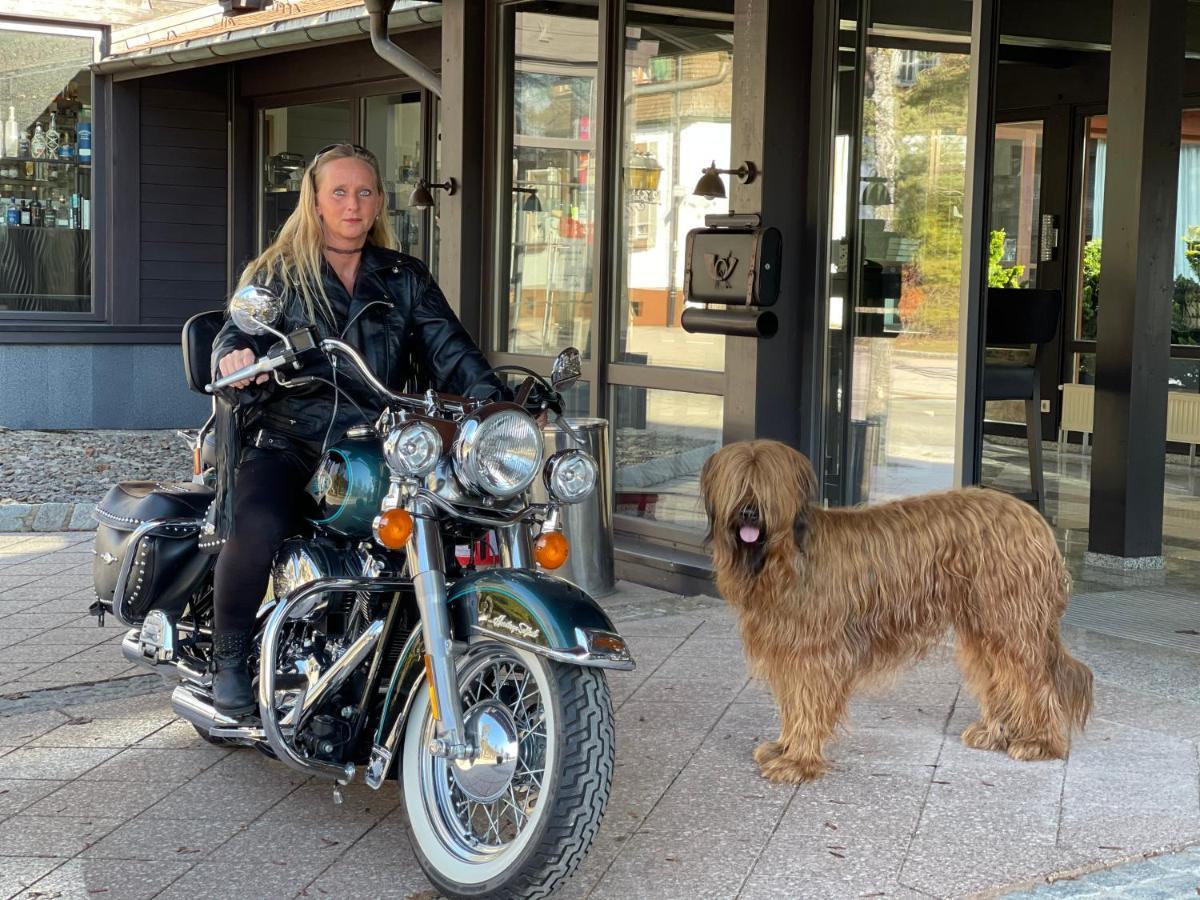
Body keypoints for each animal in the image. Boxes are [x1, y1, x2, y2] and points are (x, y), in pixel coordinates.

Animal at [700, 439, 1094, 782]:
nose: (749, 512)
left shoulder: (815, 653)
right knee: (1001, 676)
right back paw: (995, 733)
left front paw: (798, 762)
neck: (784, 559)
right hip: (983, 625)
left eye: (765, 486)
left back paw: (1039, 743)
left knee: (1036, 679)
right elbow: (792, 703)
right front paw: (784, 749)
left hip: (1009, 619)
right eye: (738, 483)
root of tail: (1035, 519)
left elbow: (808, 703)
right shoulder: (786, 649)